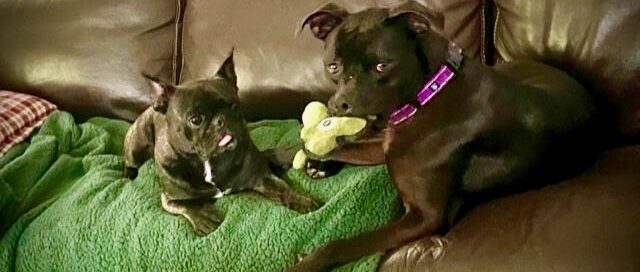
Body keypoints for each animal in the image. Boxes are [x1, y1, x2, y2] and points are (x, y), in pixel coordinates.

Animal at [122, 51, 318, 236]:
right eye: (195, 119)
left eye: (233, 105)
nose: (221, 120)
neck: (209, 161)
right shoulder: (169, 199)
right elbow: (185, 206)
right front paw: (203, 219)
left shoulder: (260, 176)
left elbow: (283, 188)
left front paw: (303, 201)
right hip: (138, 139)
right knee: (130, 160)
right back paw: (129, 173)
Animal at [288, 1, 608, 270]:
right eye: (333, 66)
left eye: (382, 65)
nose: (338, 105)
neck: (429, 91)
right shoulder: (389, 145)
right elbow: (335, 144)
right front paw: (310, 156)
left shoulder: (424, 218)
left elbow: (341, 244)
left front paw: (306, 263)